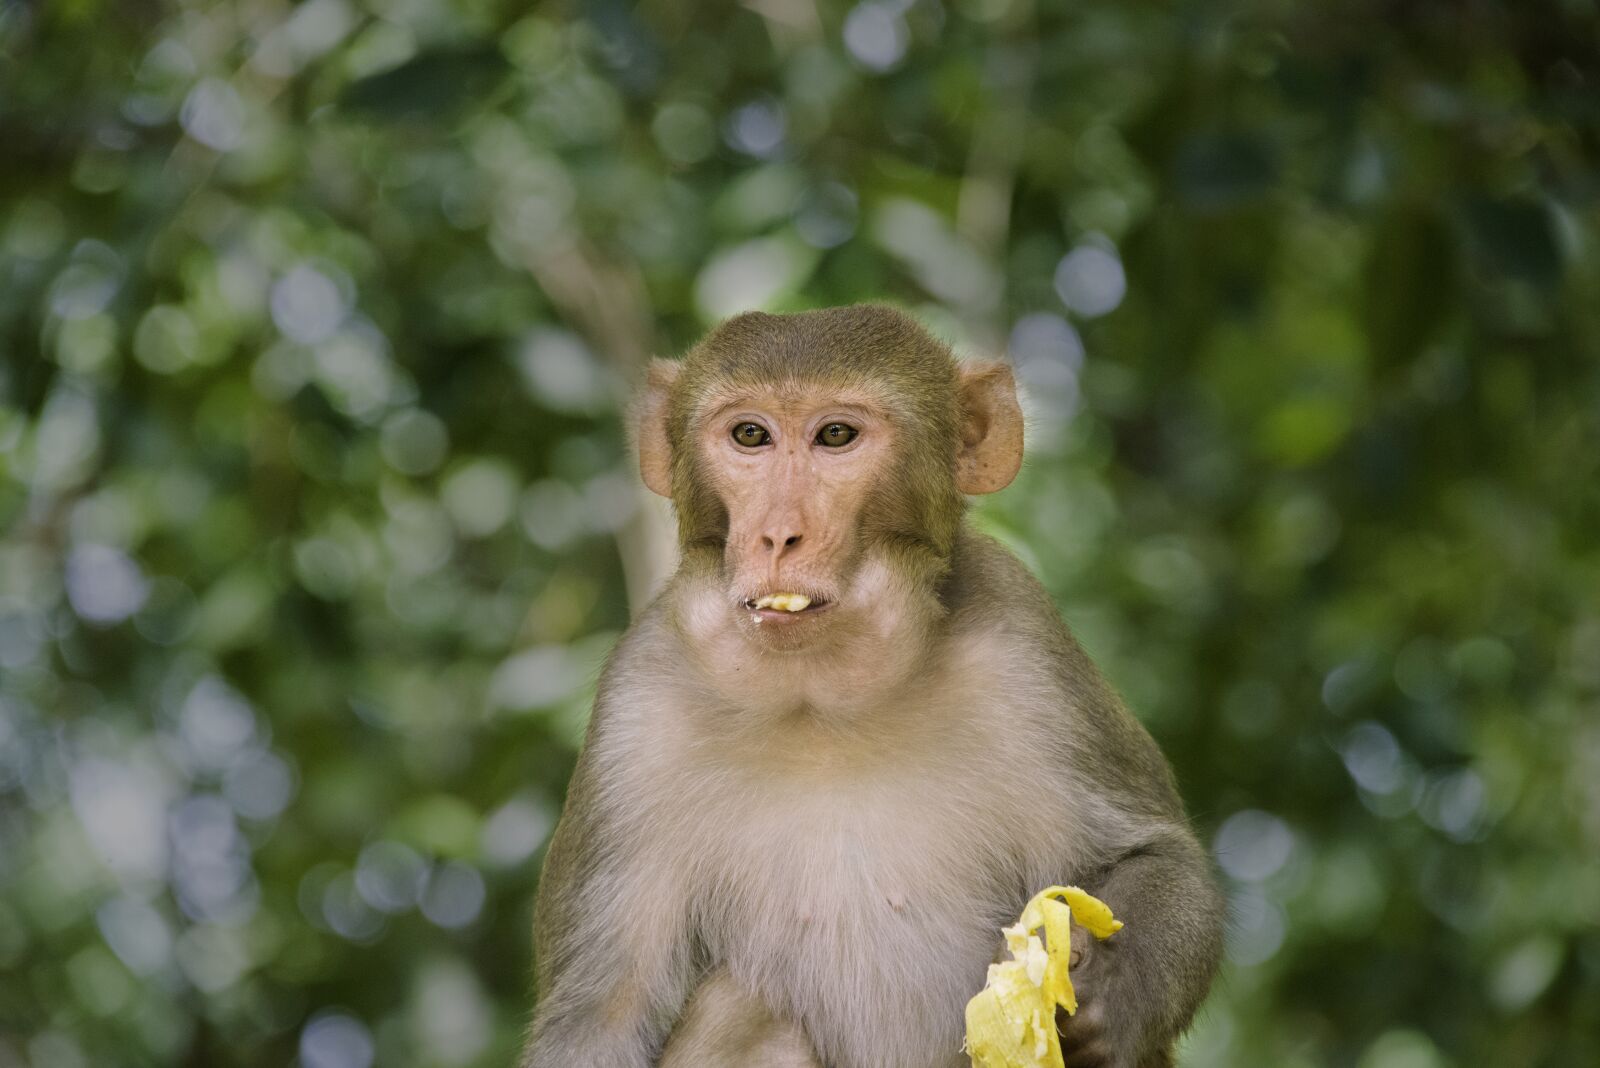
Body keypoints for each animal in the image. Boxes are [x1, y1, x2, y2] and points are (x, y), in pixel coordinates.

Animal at [524, 302, 1222, 1068]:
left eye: (836, 436)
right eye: (749, 435)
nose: (778, 535)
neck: (821, 699)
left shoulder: (1028, 649)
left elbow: (1158, 857)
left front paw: (1113, 995)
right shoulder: (635, 706)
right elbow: (600, 1017)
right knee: (746, 1007)